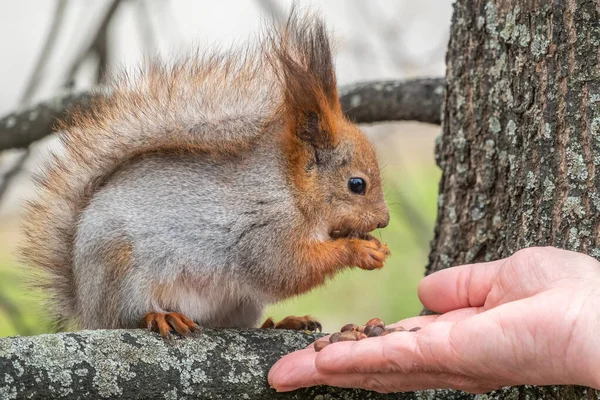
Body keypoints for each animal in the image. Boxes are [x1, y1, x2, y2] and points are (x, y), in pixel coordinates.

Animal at [19, 9, 390, 336]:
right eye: (357, 184)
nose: (384, 221)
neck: (290, 188)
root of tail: (87, 307)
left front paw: (370, 244)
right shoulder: (264, 230)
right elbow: (285, 269)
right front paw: (359, 250)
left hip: (239, 303)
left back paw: (284, 323)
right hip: (121, 274)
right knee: (129, 316)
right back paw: (162, 316)